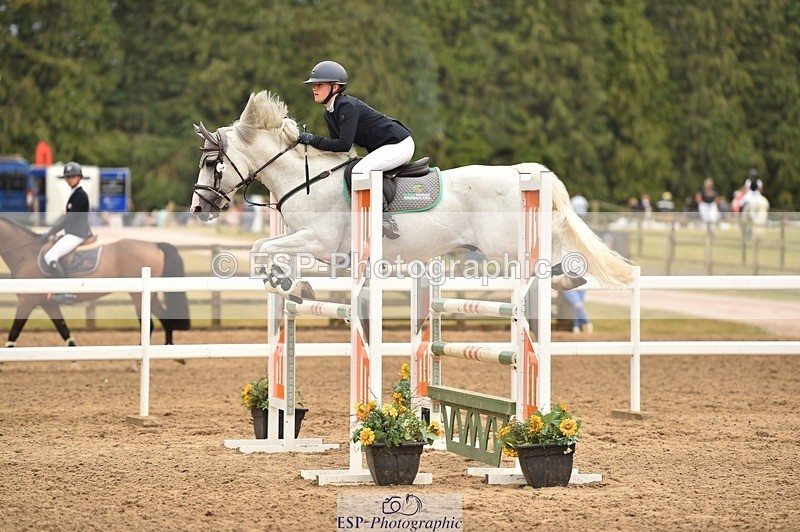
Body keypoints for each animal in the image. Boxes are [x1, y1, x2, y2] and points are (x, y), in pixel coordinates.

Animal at [0, 216, 191, 347]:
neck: (25, 254)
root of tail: (154, 245)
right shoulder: (48, 304)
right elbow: (64, 331)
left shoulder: (27, 301)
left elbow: (14, 333)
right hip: (151, 296)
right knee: (166, 319)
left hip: (139, 296)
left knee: (149, 325)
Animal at [190, 91, 634, 301]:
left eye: (213, 162)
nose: (198, 208)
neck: (306, 178)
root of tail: (522, 172)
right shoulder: (310, 245)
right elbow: (265, 250)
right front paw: (291, 285)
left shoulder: (318, 241)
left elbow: (260, 248)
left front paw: (289, 285)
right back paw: (566, 280)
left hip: (506, 244)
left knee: (552, 257)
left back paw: (562, 280)